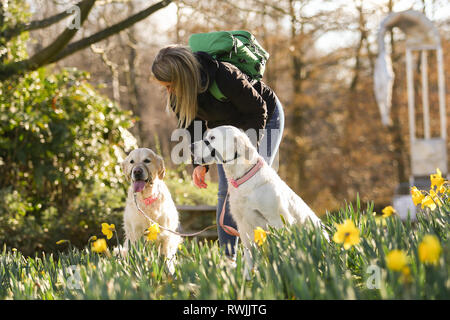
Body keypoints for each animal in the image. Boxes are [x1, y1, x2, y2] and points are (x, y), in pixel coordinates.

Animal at [192, 126, 328, 278]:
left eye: (212, 138)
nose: (191, 146)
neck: (243, 177)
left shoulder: (277, 220)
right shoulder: (243, 225)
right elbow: (248, 255)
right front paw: (247, 279)